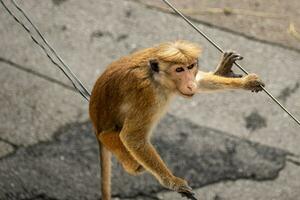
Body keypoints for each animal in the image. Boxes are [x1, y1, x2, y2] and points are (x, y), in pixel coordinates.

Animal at [89, 39, 264, 199]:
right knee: (117, 141)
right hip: (111, 139)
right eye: (179, 69)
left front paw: (244, 82)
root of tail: (96, 124)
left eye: (190, 67)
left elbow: (200, 82)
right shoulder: (146, 94)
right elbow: (131, 137)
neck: (156, 79)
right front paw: (172, 182)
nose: (189, 83)